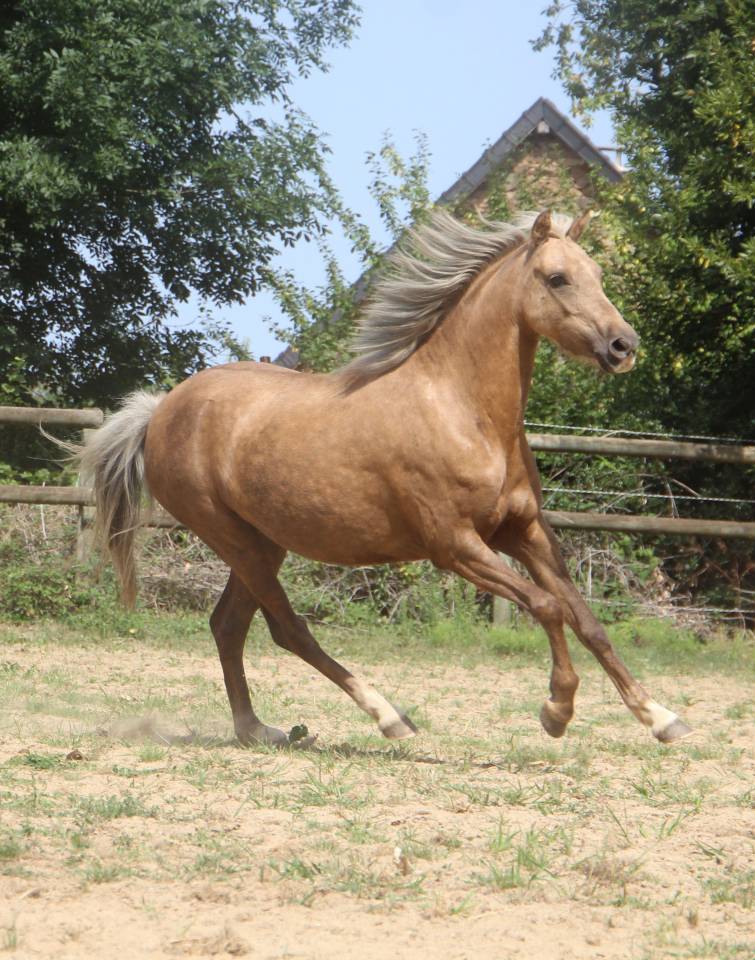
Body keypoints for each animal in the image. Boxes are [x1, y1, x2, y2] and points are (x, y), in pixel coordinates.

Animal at [79, 208, 692, 747]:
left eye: (599, 275)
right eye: (557, 277)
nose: (623, 345)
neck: (462, 410)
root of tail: (160, 411)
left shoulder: (524, 532)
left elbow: (588, 620)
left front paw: (661, 718)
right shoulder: (455, 546)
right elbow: (548, 607)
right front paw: (556, 711)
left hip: (262, 542)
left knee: (229, 626)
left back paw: (256, 729)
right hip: (234, 539)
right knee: (288, 630)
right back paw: (389, 717)